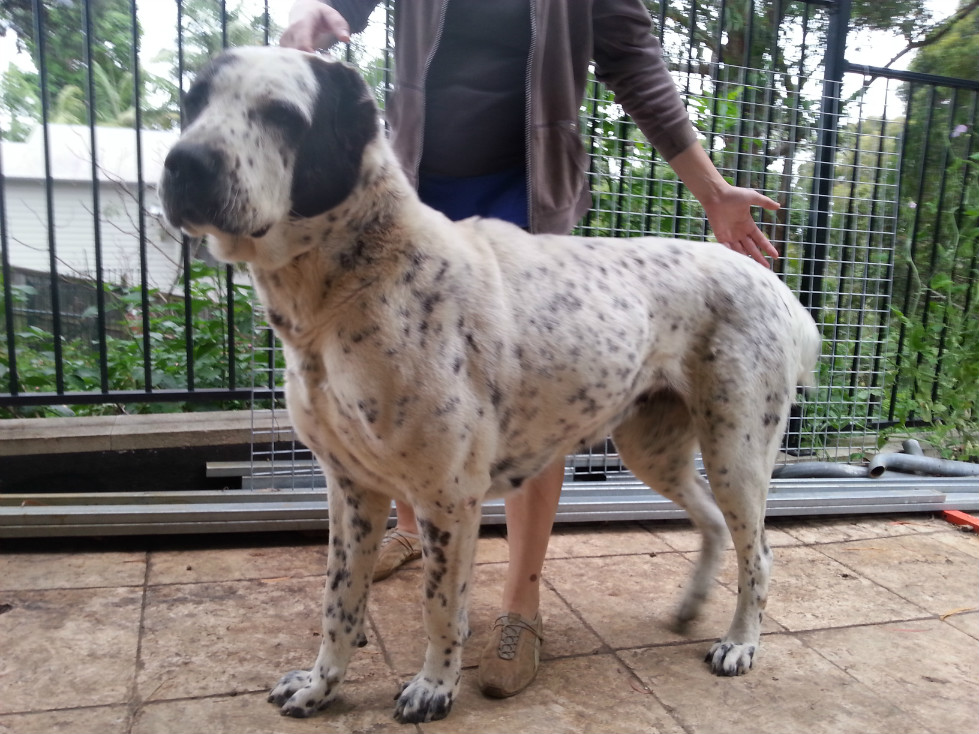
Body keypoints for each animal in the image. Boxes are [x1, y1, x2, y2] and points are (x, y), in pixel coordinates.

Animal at [159, 47, 820, 732]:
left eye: (282, 114)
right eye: (193, 102)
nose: (182, 164)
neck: (353, 284)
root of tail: (772, 283)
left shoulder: (448, 497)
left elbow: (440, 608)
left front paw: (434, 688)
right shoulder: (351, 490)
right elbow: (338, 605)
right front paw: (320, 687)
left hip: (736, 452)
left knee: (759, 553)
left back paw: (740, 643)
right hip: (654, 450)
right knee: (714, 523)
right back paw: (691, 607)